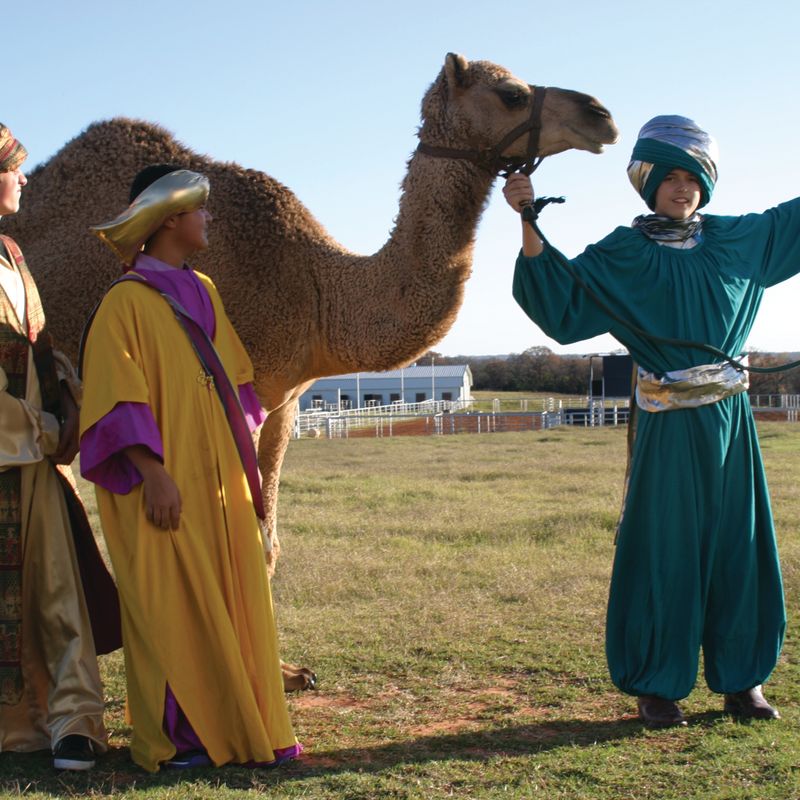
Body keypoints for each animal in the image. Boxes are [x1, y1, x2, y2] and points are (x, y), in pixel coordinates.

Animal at [0, 54, 620, 688]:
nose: (601, 115)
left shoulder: (282, 402)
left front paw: (287, 673)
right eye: (511, 94)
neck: (318, 289)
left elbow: (266, 539)